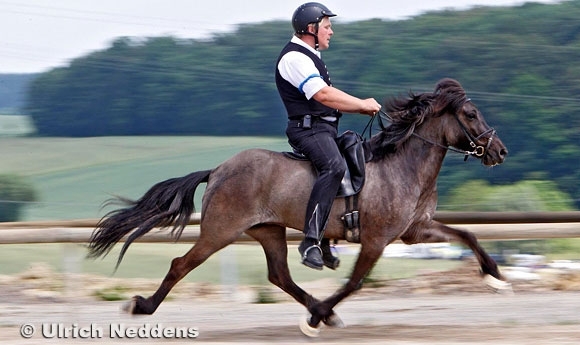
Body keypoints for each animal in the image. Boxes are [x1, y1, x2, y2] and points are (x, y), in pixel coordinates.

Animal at [88, 78, 510, 336]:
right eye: (471, 114)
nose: (500, 152)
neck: (400, 164)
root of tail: (219, 169)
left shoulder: (415, 230)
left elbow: (467, 234)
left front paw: (495, 275)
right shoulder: (377, 240)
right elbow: (354, 282)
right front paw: (317, 317)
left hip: (268, 231)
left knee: (280, 276)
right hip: (220, 231)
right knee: (181, 265)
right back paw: (142, 306)